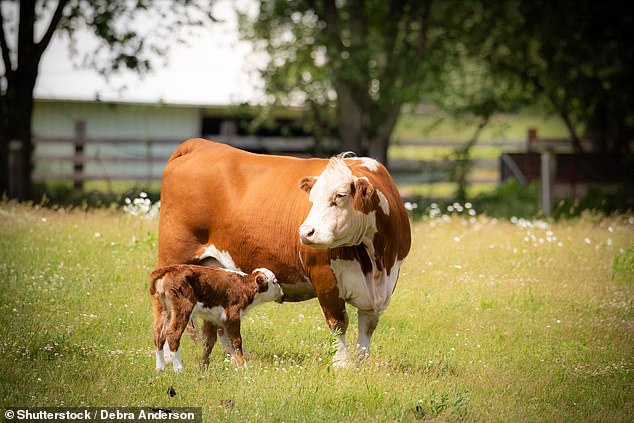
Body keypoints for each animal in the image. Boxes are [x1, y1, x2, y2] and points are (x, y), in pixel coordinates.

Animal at [149, 266, 282, 372]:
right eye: (275, 281)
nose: (282, 293)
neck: (243, 287)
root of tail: (170, 269)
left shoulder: (214, 319)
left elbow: (210, 342)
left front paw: (204, 367)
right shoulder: (232, 316)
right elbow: (236, 341)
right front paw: (242, 367)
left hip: (162, 310)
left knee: (159, 335)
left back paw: (160, 369)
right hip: (182, 309)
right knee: (172, 334)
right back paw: (179, 370)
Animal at [158, 140, 410, 368]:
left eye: (340, 195)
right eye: (312, 199)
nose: (305, 232)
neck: (375, 262)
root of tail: (200, 144)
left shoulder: (385, 283)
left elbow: (367, 325)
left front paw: (360, 364)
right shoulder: (324, 276)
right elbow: (338, 322)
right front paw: (342, 364)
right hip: (174, 261)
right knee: (169, 317)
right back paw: (170, 359)